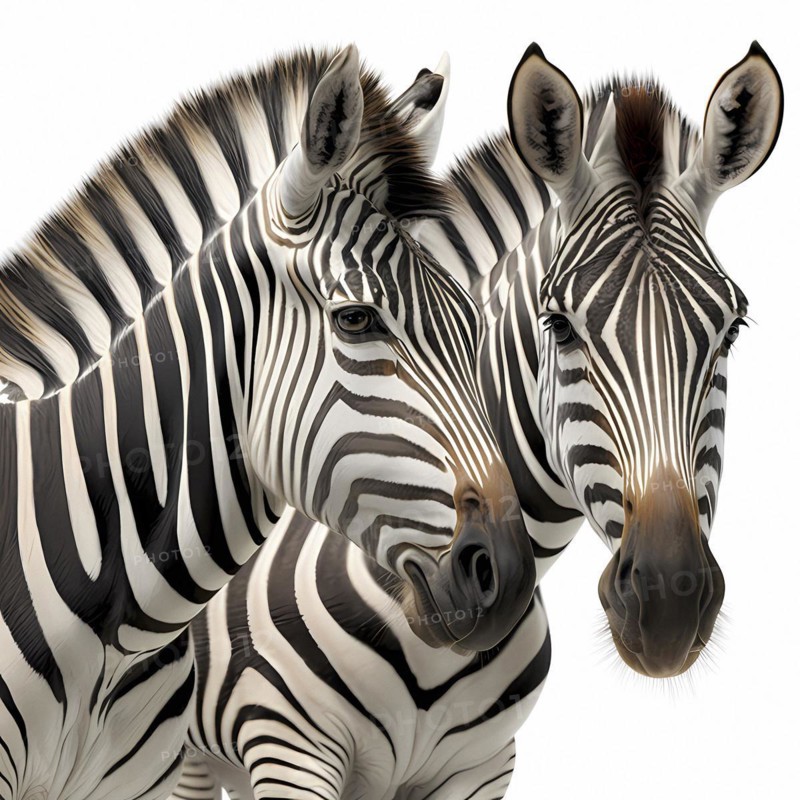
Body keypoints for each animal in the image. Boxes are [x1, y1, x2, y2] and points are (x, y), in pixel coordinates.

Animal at [169, 41, 784, 799]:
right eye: (560, 326)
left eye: (730, 330)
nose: (669, 602)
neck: (432, 636)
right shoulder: (289, 749)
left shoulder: (482, 767)